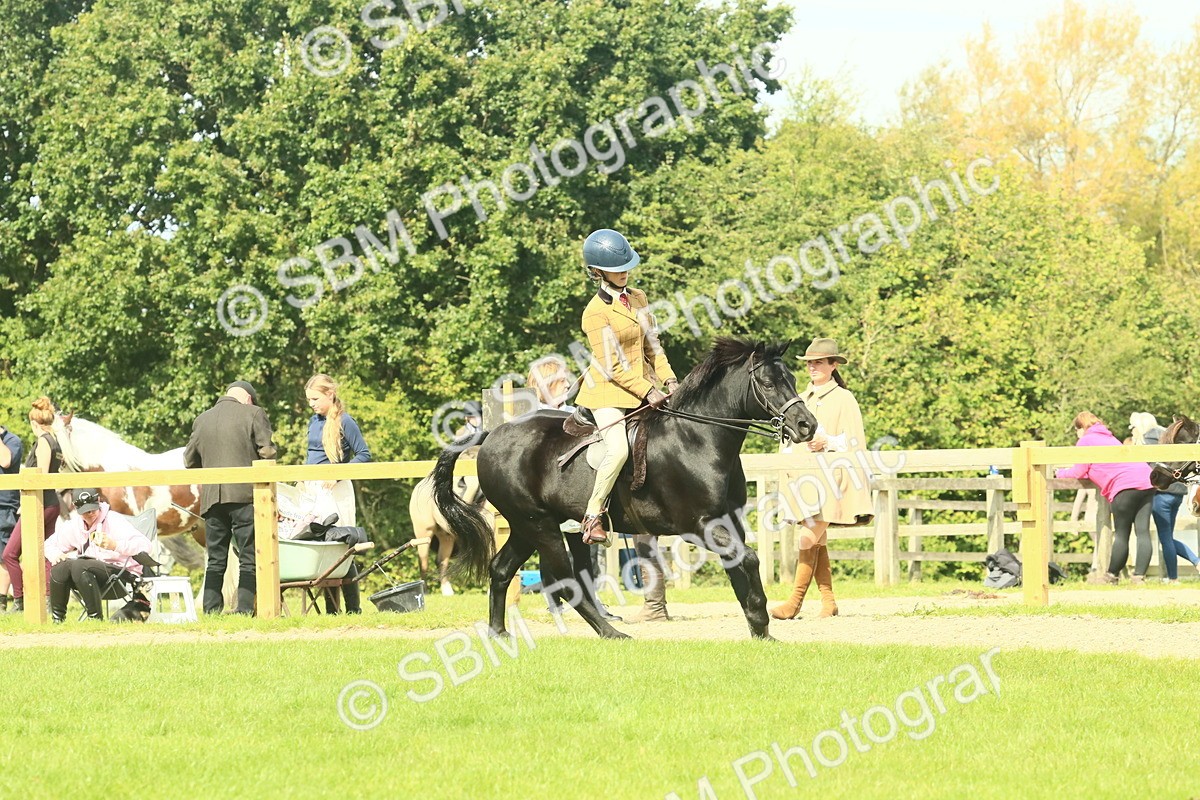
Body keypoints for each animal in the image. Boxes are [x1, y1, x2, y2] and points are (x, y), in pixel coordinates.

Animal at [431, 338, 818, 640]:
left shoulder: (729, 521)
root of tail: (492, 434)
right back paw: (612, 632)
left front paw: (760, 629)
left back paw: (498, 633)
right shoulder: (700, 525)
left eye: (791, 378)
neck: (698, 438)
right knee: (567, 582)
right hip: (540, 526)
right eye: (767, 383)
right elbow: (748, 559)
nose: (807, 425)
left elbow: (741, 565)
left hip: (525, 527)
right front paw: (760, 621)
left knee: (500, 570)